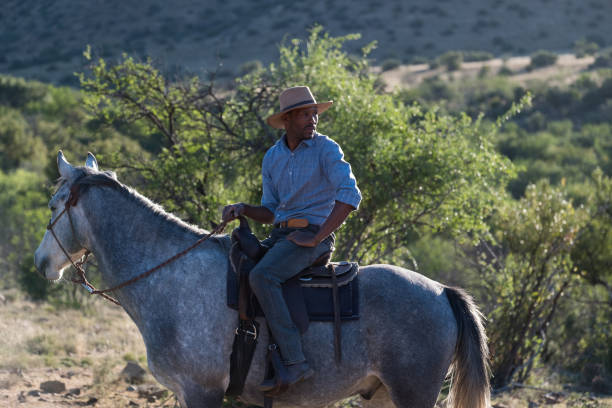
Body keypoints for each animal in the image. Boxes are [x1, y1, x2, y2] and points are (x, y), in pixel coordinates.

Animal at [34, 152, 492, 408]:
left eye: (55, 204)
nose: (41, 263)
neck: (170, 276)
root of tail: (443, 292)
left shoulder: (202, 393)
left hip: (412, 392)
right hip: (379, 394)